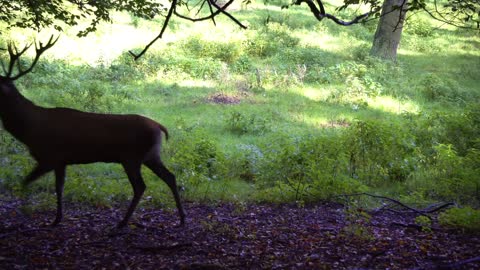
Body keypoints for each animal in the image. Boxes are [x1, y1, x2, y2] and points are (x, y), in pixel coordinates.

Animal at [0, 35, 186, 229]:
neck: (29, 129)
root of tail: (159, 126)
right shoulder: (61, 161)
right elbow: (59, 188)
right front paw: (57, 219)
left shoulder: (49, 157)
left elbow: (25, 182)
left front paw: (24, 212)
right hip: (151, 156)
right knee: (170, 177)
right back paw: (181, 218)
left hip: (132, 157)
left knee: (140, 186)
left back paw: (123, 222)